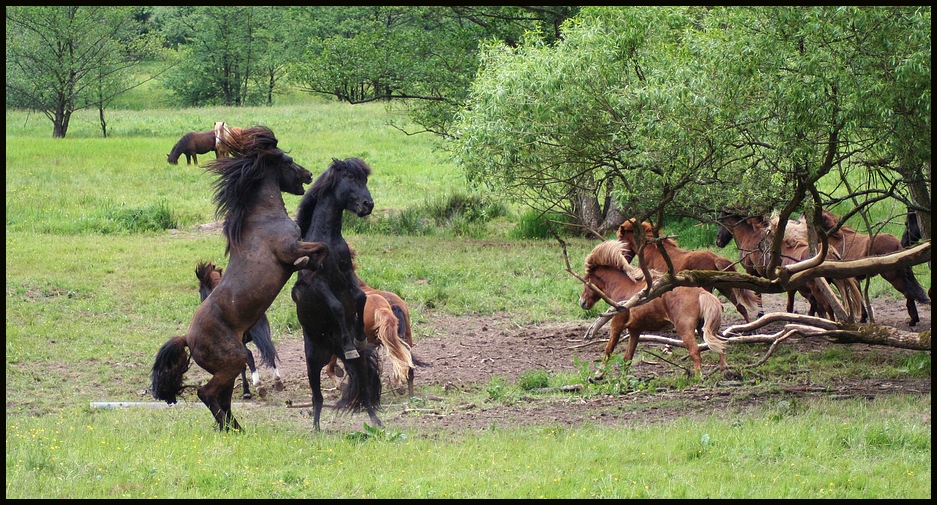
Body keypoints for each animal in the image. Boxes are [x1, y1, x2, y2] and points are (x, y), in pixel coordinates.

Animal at [195, 260, 280, 398]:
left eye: (199, 290)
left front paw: (246, 391)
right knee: (270, 350)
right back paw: (277, 380)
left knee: (251, 356)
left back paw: (258, 385)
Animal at [290, 157, 382, 430]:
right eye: (350, 179)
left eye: (365, 179)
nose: (368, 205)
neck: (328, 239)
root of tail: (332, 349)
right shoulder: (318, 281)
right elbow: (337, 306)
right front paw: (351, 339)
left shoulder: (347, 275)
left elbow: (360, 298)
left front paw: (358, 337)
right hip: (312, 363)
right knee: (317, 398)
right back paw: (316, 430)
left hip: (357, 364)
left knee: (364, 391)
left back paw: (377, 422)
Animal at [576, 238, 728, 376]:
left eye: (586, 279)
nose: (582, 302)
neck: (622, 286)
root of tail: (701, 293)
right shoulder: (635, 330)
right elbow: (627, 358)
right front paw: (622, 381)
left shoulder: (616, 325)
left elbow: (609, 349)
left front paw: (597, 375)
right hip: (703, 328)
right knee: (719, 344)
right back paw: (724, 371)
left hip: (685, 329)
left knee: (695, 351)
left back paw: (698, 378)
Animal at [616, 219, 764, 320]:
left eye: (620, 239)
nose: (622, 261)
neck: (652, 250)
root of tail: (715, 258)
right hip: (724, 287)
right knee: (741, 308)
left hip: (708, 289)